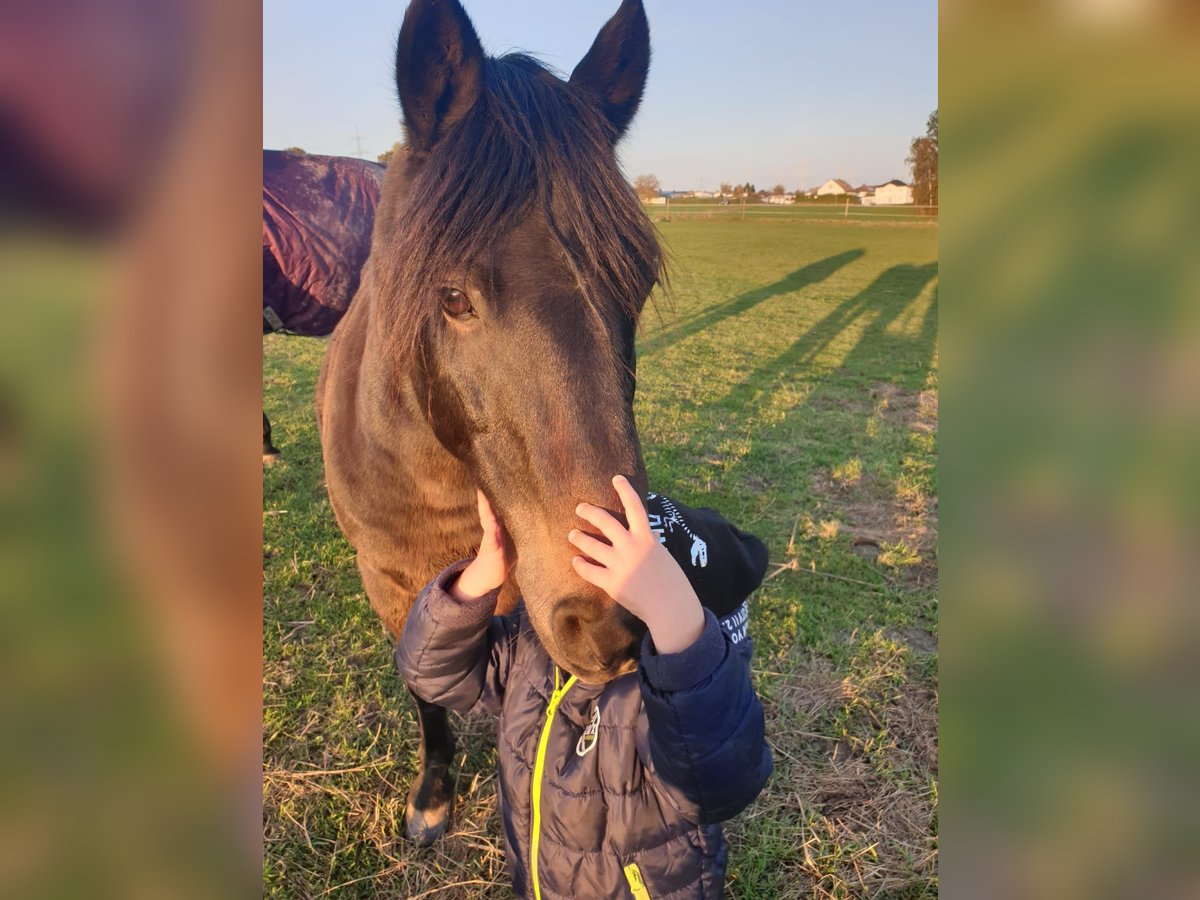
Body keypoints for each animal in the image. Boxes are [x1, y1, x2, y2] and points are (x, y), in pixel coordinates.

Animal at [314, 0, 662, 844]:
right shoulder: (393, 583)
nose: (614, 617)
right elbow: (427, 692)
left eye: (636, 284)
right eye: (452, 297)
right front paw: (434, 795)